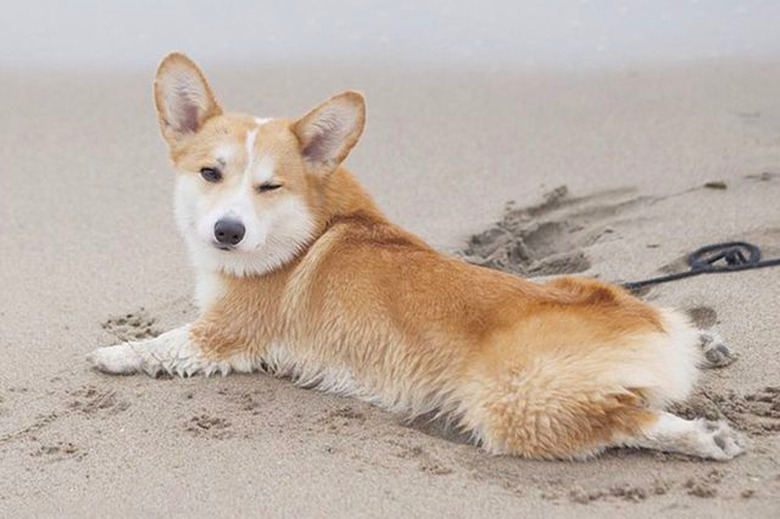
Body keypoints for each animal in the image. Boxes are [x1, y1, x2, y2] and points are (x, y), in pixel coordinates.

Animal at [87, 51, 744, 460]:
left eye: (269, 186)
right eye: (210, 173)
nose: (227, 232)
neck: (305, 229)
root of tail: (646, 332)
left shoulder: (225, 333)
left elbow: (163, 345)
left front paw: (114, 353)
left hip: (512, 403)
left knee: (621, 418)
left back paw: (703, 436)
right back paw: (705, 346)